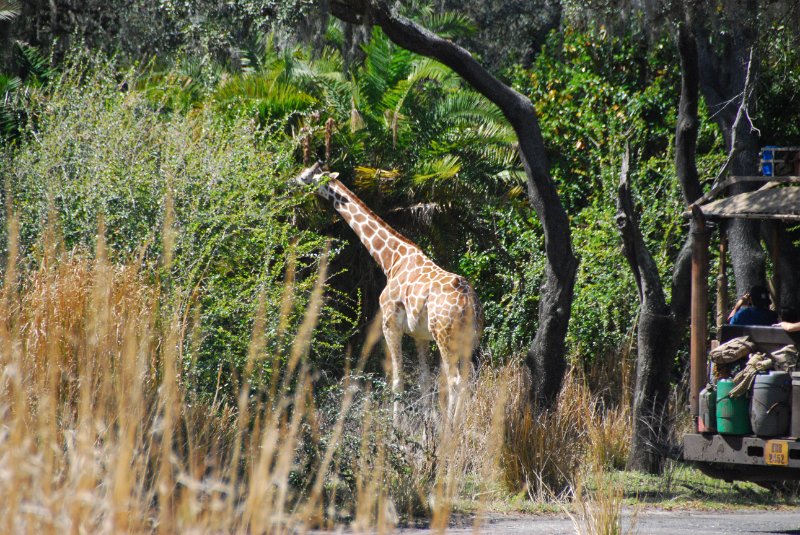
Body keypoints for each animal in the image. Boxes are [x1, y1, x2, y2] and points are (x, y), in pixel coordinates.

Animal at [294, 164, 482, 422]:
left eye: (307, 175)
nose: (293, 181)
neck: (391, 260)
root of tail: (469, 303)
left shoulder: (389, 323)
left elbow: (397, 381)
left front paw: (397, 427)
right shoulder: (420, 335)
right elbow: (423, 381)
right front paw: (425, 426)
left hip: (445, 336)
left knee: (454, 381)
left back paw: (450, 428)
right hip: (469, 339)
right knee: (466, 379)